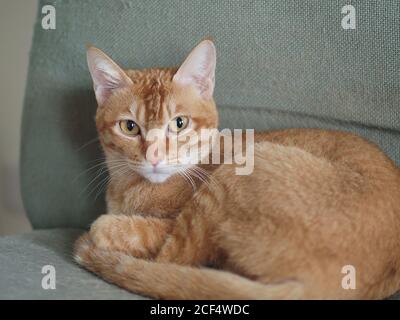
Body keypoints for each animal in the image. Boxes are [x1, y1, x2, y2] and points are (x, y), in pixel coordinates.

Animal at [73, 40, 400, 300]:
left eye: (179, 123)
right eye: (129, 127)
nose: (154, 156)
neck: (130, 188)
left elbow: (137, 231)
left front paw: (106, 228)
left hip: (228, 180)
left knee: (171, 262)